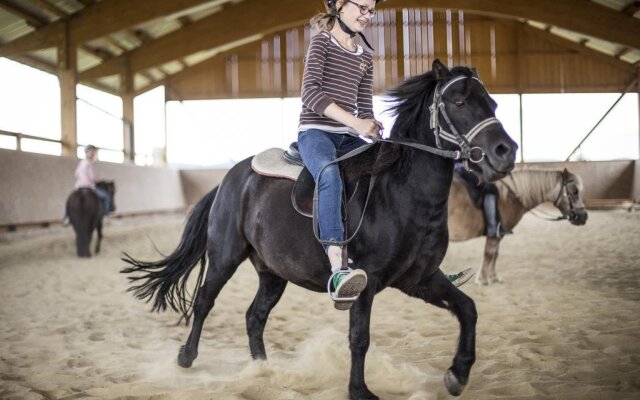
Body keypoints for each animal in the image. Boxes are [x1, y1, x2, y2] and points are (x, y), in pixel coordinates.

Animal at [122, 60, 516, 400]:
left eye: (493, 103)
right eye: (459, 101)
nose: (506, 151)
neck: (400, 191)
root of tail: (229, 180)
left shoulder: (419, 279)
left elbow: (467, 309)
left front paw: (457, 374)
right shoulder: (366, 282)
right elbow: (359, 338)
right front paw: (359, 391)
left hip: (273, 273)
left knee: (255, 316)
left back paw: (263, 371)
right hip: (225, 256)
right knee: (205, 300)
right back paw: (186, 357)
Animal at [448, 168, 588, 284]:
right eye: (575, 191)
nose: (583, 217)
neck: (510, 197)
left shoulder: (499, 235)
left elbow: (495, 254)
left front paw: (494, 277)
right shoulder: (494, 235)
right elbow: (489, 254)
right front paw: (483, 279)